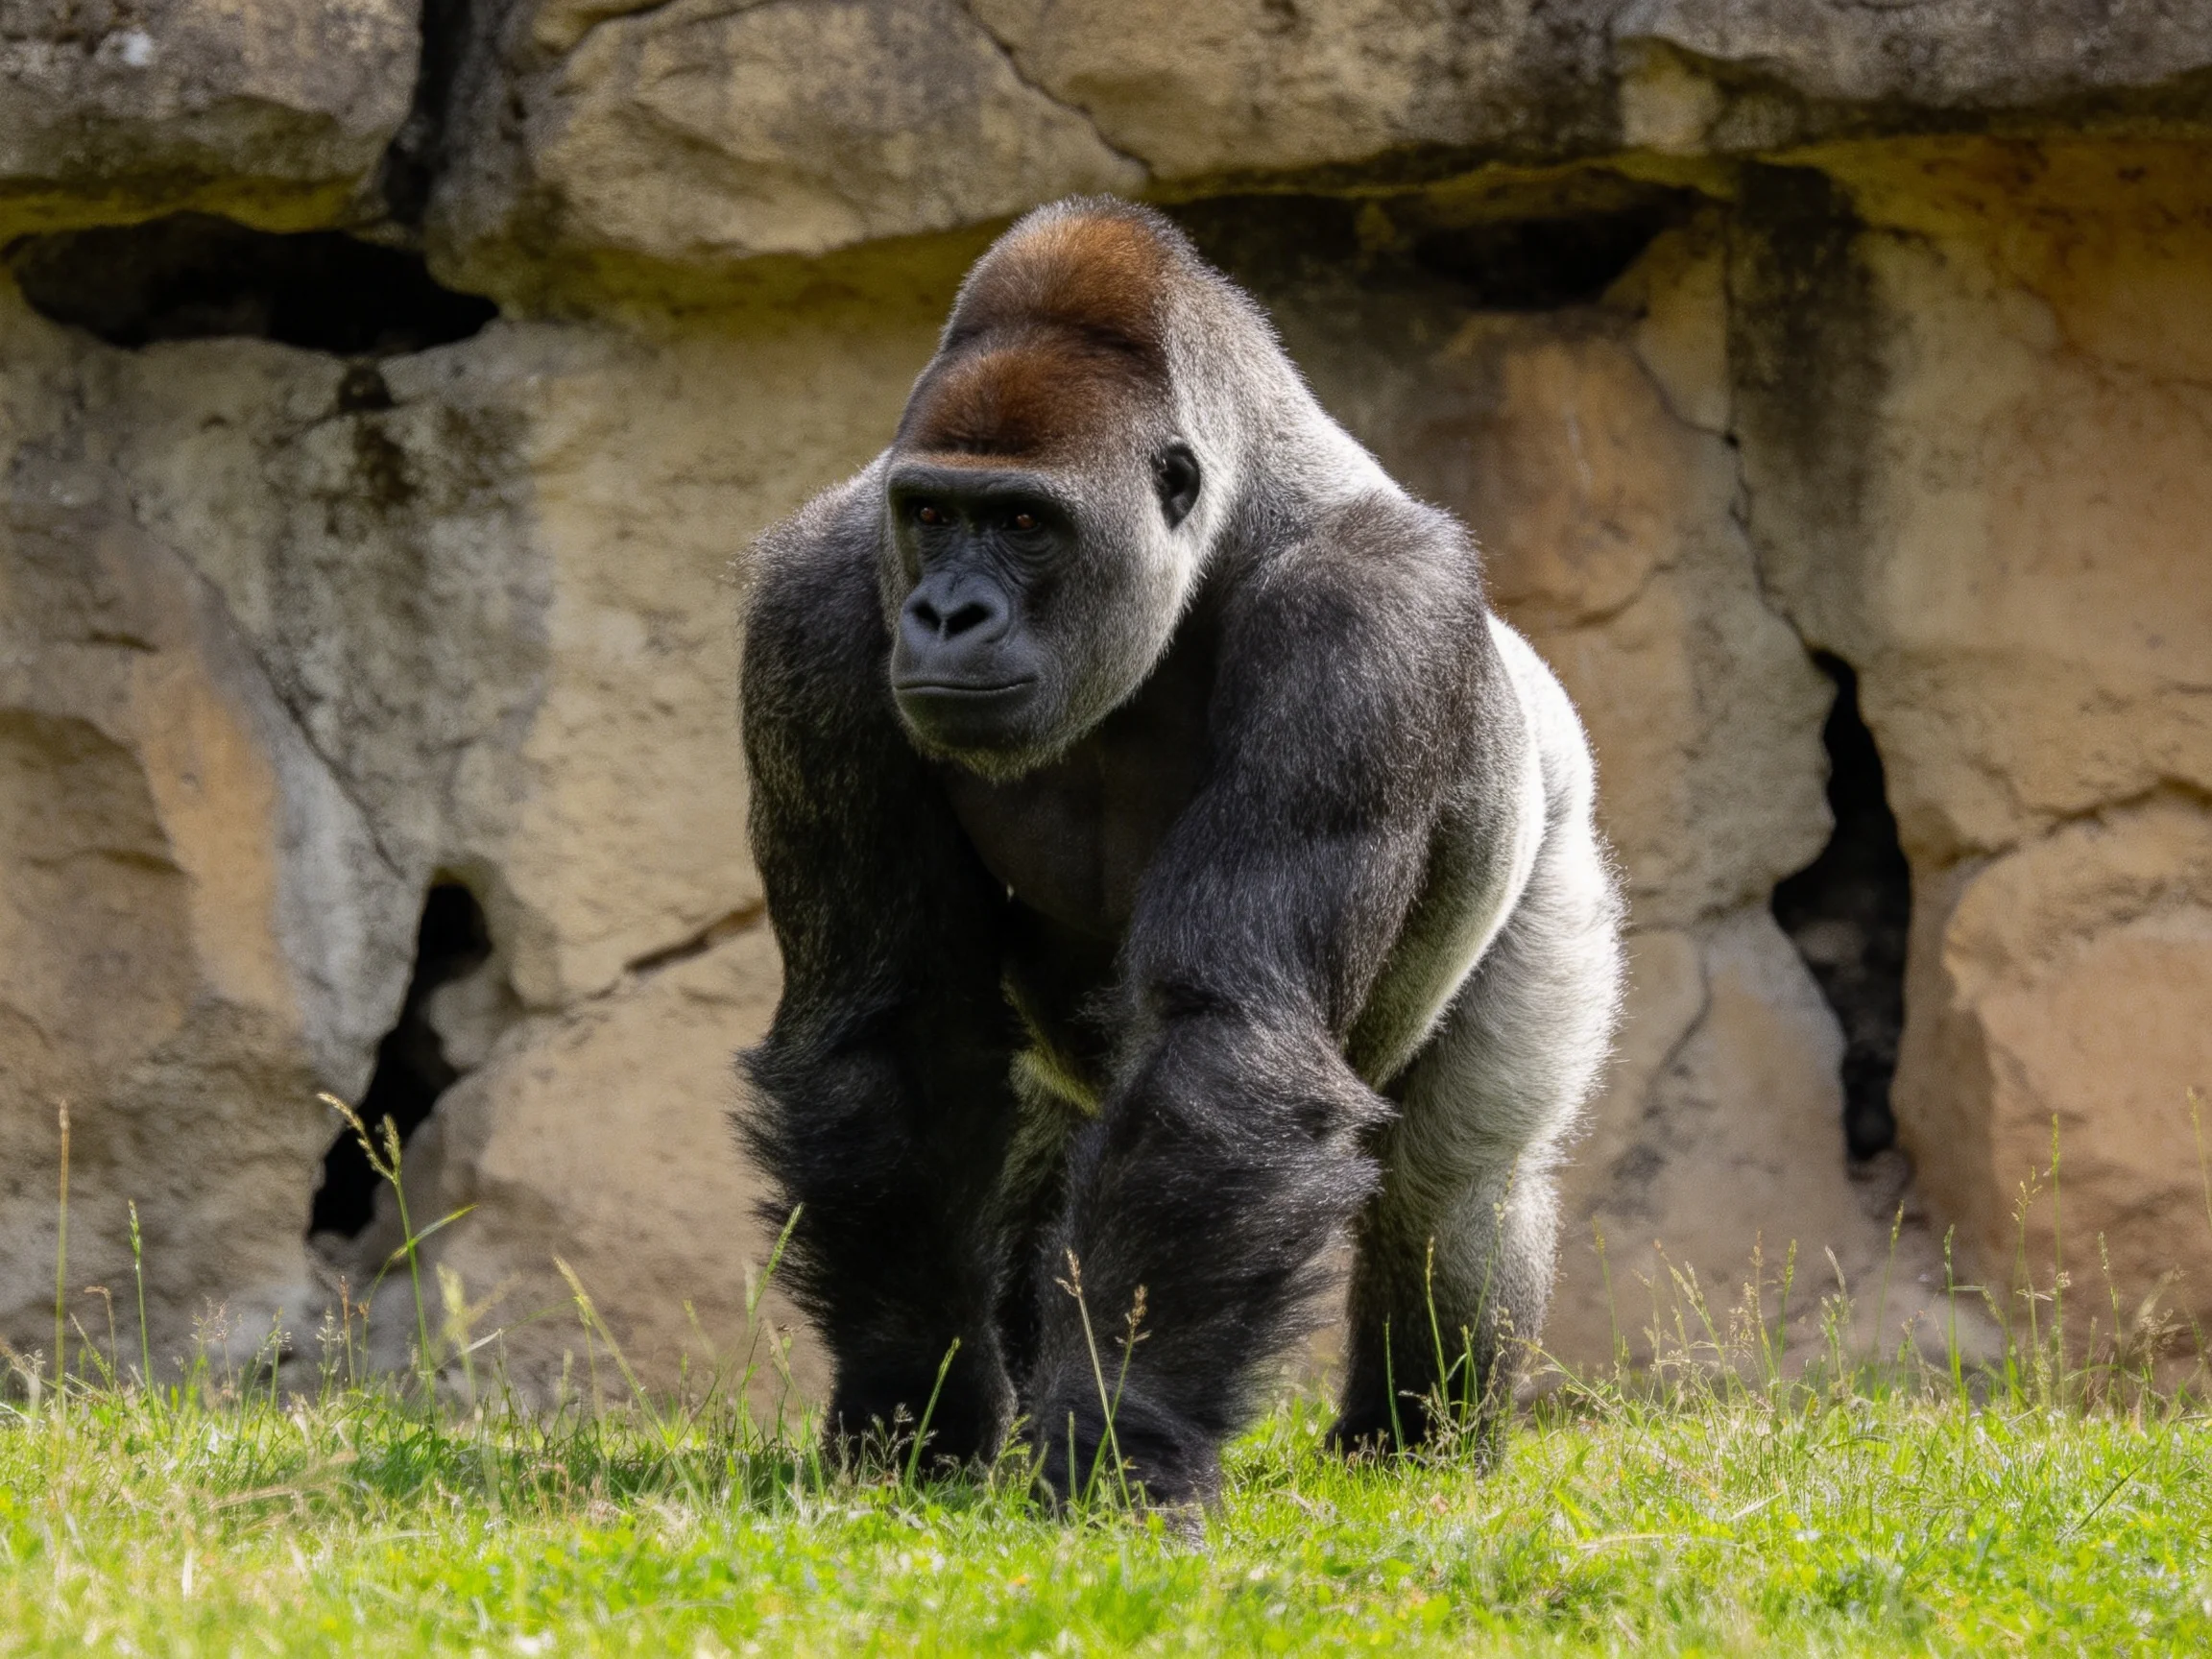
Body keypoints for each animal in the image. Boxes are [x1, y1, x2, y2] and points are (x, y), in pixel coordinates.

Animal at [738, 197, 1622, 1513]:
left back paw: (1413, 1440)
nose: (946, 614)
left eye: (1024, 521)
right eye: (933, 512)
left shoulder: (1365, 622)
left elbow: (1227, 1043)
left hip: (1558, 814)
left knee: (1456, 1181)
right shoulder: (815, 609)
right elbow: (892, 1032)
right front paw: (919, 1409)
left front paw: (1122, 1438)